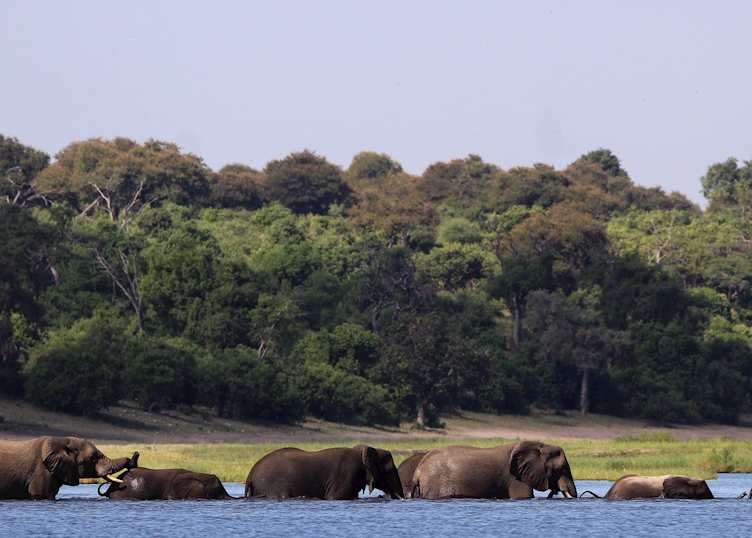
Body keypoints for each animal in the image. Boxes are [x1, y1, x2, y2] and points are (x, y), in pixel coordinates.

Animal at [411, 441, 577, 499]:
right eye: (560, 468)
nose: (555, 491)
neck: (539, 445)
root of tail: (418, 470)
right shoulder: (516, 478)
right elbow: (523, 496)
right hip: (435, 484)